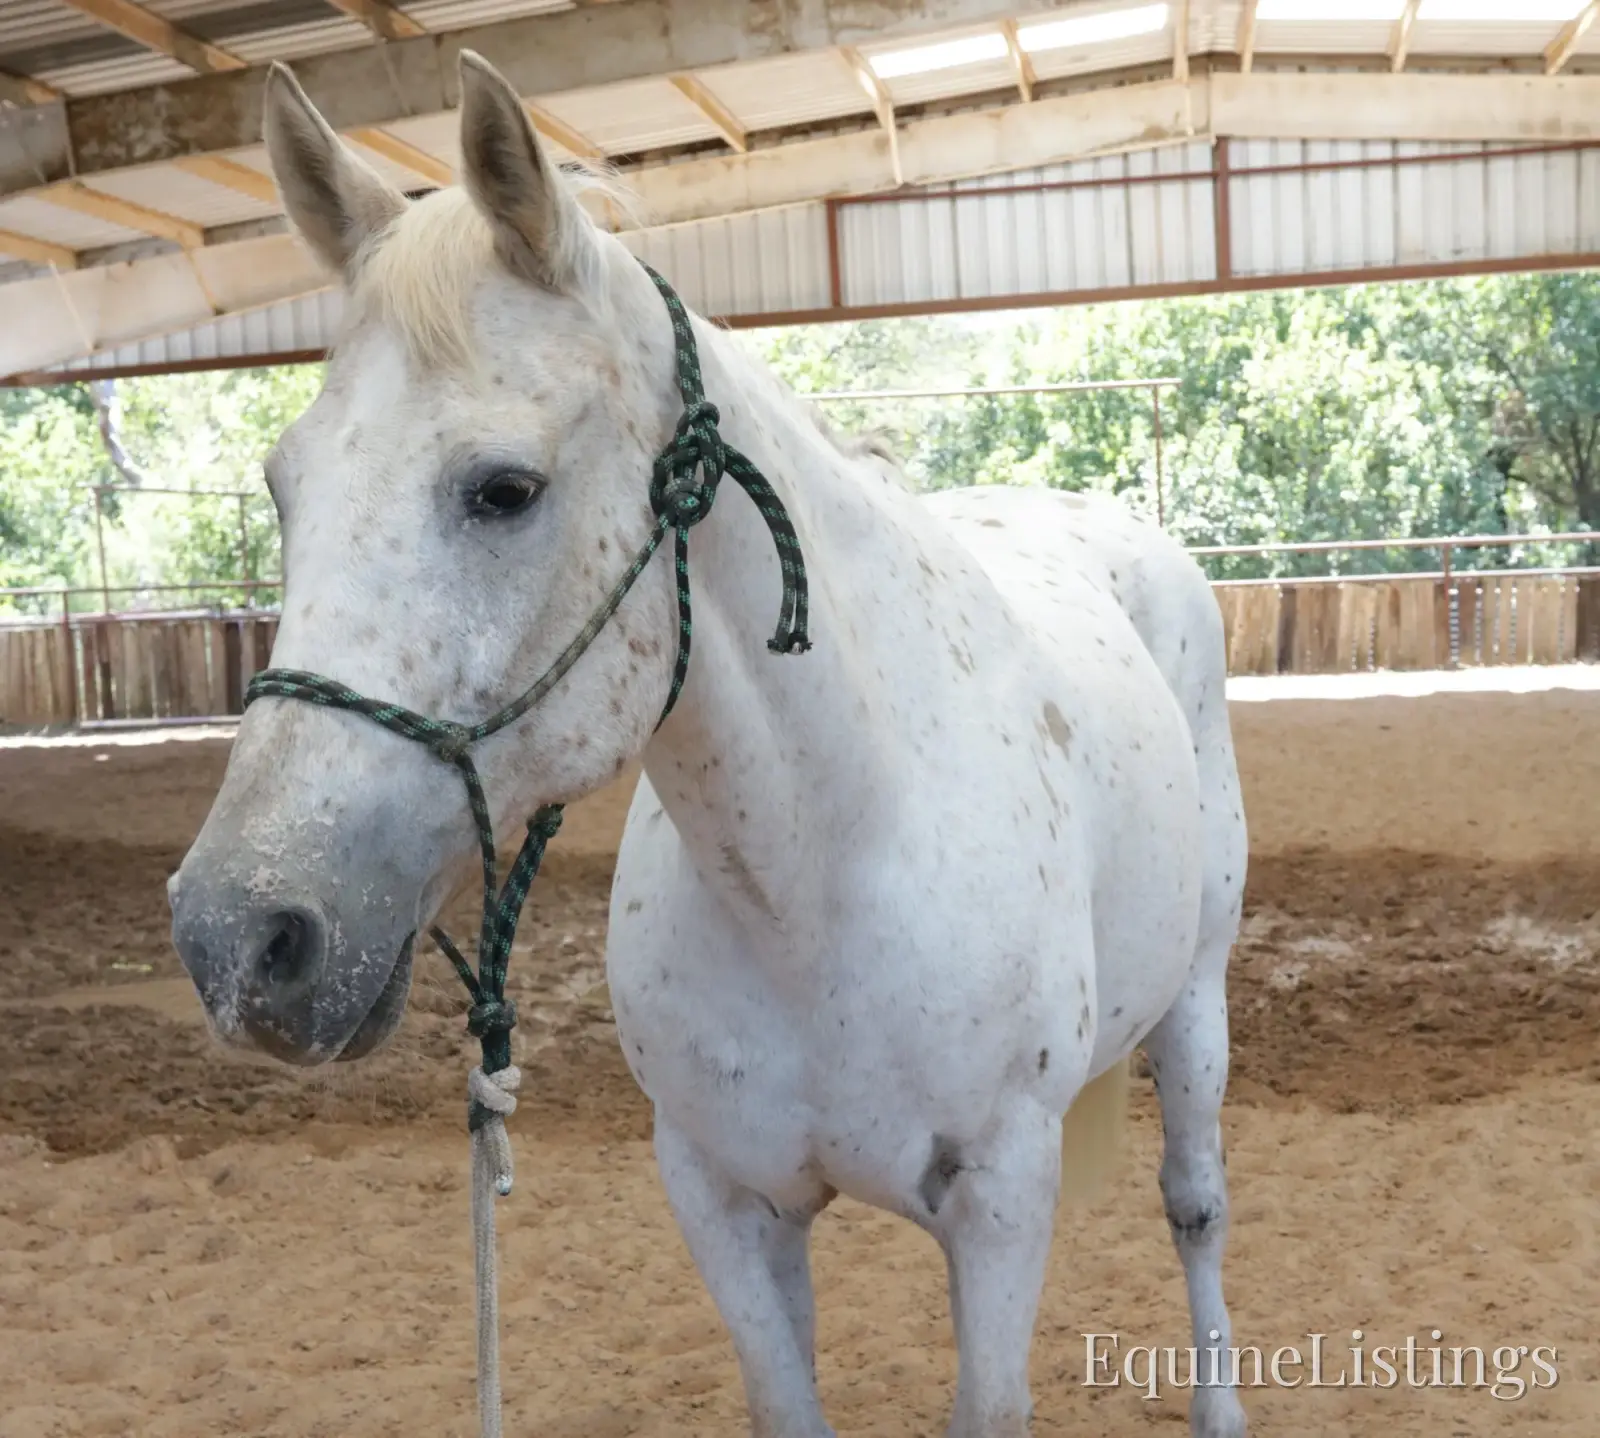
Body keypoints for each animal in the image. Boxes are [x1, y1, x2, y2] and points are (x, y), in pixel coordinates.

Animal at [168, 51, 1249, 1438]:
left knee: (1194, 1206)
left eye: (504, 489)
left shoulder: (1005, 1200)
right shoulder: (723, 1202)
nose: (238, 935)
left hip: (1196, 1001)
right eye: (283, 487)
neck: (820, 878)